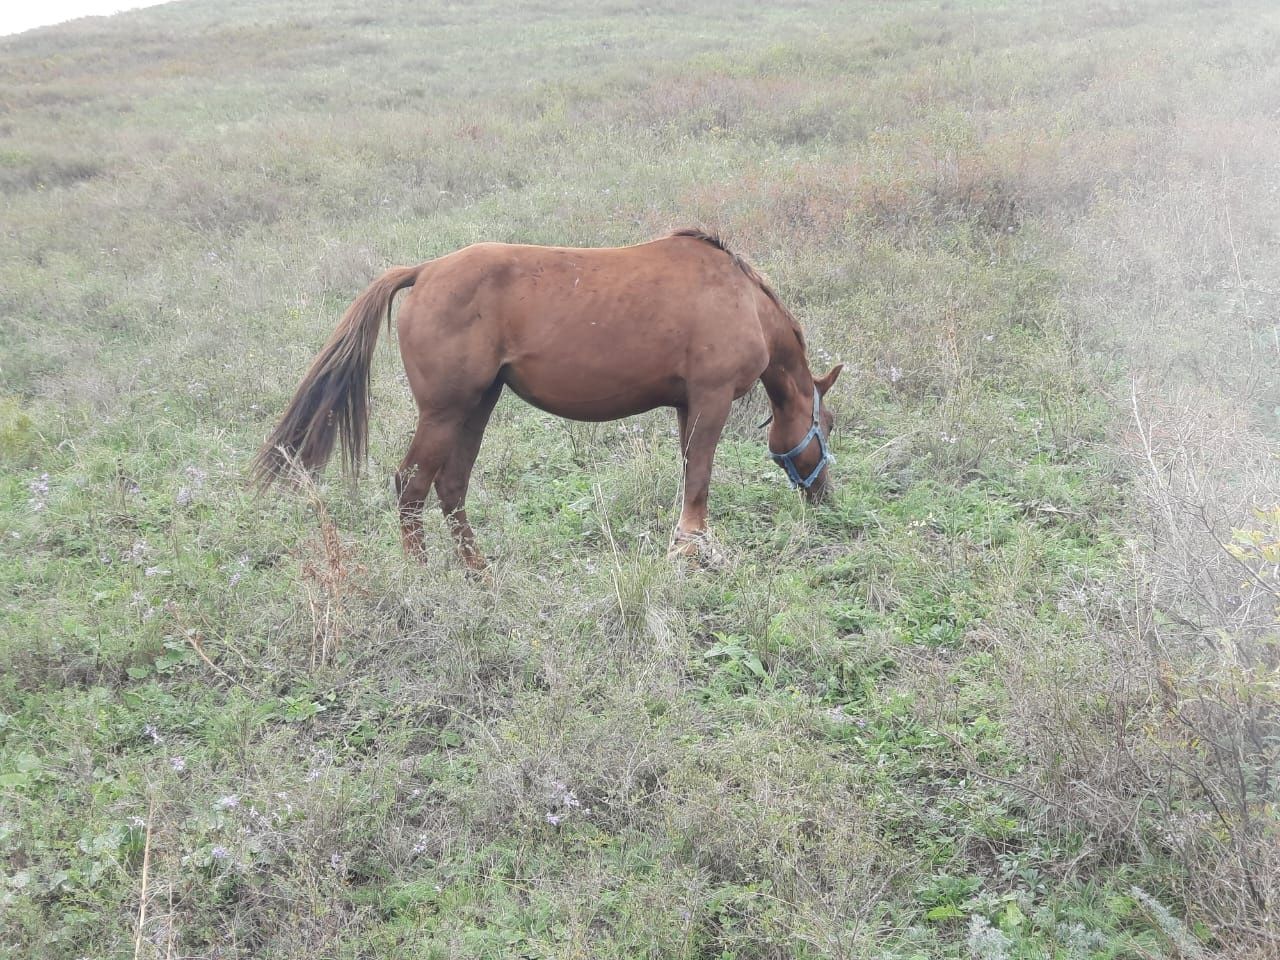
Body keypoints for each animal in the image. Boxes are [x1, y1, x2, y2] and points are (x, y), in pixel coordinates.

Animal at [254, 227, 844, 568]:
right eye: (829, 424)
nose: (824, 496)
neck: (743, 298)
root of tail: (424, 272)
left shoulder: (687, 407)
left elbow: (687, 473)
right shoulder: (711, 399)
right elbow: (698, 478)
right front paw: (694, 547)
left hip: (477, 407)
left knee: (451, 486)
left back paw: (477, 571)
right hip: (444, 412)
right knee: (411, 486)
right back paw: (421, 575)